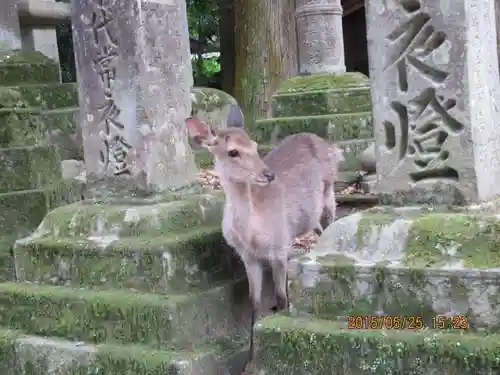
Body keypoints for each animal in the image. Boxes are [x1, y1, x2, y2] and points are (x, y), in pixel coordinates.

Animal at [184, 116, 344, 374]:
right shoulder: (248, 258)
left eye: (255, 145)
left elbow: (281, 297)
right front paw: (249, 363)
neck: (252, 234)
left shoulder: (279, 248)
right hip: (311, 218)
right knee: (319, 230)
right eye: (233, 151)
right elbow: (254, 304)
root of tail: (332, 147)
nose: (268, 174)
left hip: (330, 193)